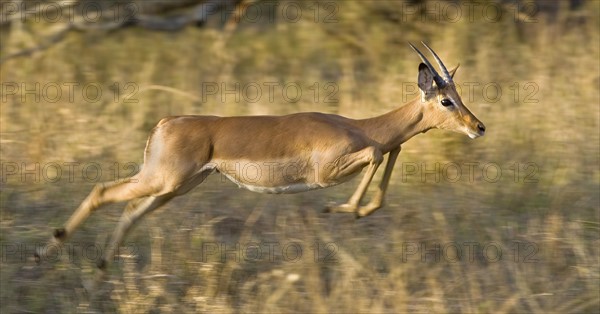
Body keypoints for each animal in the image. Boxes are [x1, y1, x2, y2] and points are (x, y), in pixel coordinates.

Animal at [35, 43, 488, 276]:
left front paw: (357, 211)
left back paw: (103, 263)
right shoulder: (328, 171)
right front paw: (341, 209)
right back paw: (45, 253)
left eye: (458, 95)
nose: (479, 126)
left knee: (130, 209)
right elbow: (380, 151)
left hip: (176, 186)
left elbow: (391, 152)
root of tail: (166, 121)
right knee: (101, 190)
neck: (359, 125)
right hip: (163, 180)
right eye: (446, 100)